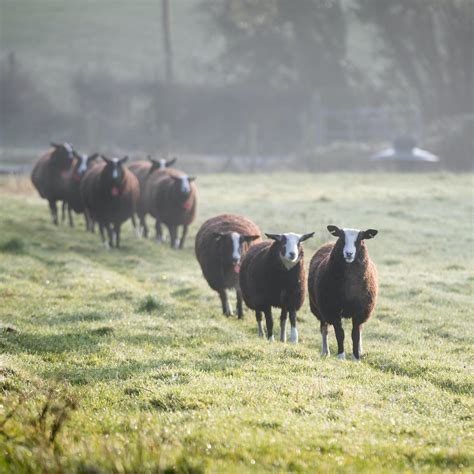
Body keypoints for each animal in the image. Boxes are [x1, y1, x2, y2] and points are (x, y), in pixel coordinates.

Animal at [308, 224, 378, 362]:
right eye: (341, 237)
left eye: (360, 239)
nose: (349, 253)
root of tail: (328, 243)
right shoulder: (333, 310)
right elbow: (340, 334)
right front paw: (341, 356)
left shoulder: (360, 311)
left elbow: (355, 334)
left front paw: (356, 357)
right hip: (319, 309)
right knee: (324, 329)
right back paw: (325, 351)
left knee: (360, 330)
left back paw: (360, 350)